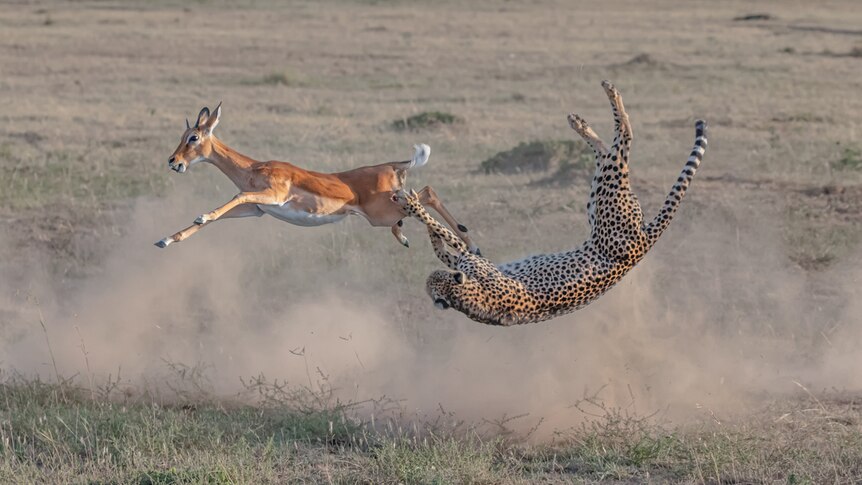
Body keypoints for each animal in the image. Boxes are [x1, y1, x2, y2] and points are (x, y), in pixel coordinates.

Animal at [157, 103, 480, 253]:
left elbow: (232, 198)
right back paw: (412, 238)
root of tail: (391, 165)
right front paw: (165, 239)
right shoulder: (256, 210)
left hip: (383, 210)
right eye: (183, 135)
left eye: (193, 137)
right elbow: (214, 218)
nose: (174, 161)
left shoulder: (271, 197)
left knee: (427, 193)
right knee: (420, 198)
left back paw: (467, 244)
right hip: (389, 208)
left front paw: (199, 216)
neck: (254, 169)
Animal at [398, 81, 708, 326]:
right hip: (602, 197)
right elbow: (445, 244)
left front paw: (412, 204)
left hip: (608, 198)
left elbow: (449, 237)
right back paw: (585, 119)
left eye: (436, 278)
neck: (469, 301)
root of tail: (645, 242)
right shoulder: (469, 261)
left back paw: (604, 100)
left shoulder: (472, 261)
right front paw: (418, 210)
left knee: (623, 141)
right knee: (614, 150)